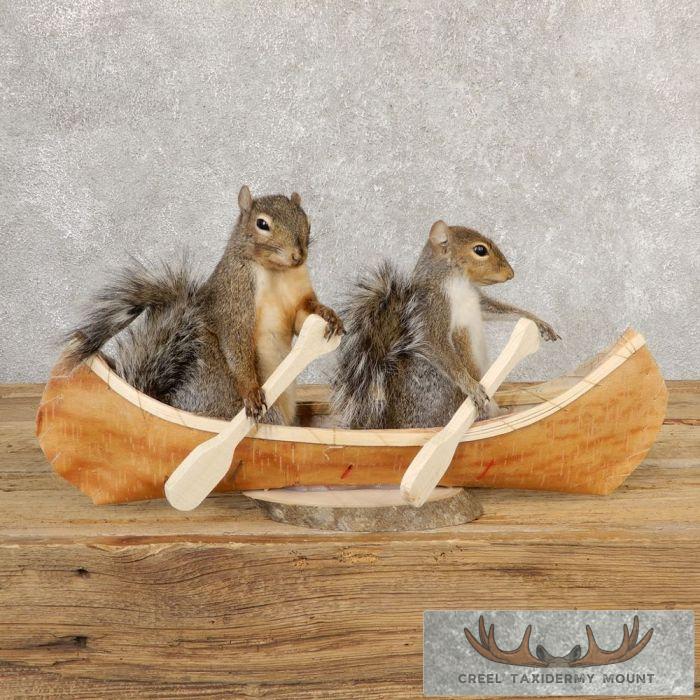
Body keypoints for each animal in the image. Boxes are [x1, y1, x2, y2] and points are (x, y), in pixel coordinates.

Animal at [65, 185, 343, 424]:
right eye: (262, 224)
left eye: (307, 221)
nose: (298, 256)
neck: (277, 273)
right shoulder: (234, 299)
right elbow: (235, 342)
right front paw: (251, 392)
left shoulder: (297, 295)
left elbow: (302, 320)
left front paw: (328, 315)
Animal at [331, 220, 559, 429]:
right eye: (480, 250)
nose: (510, 274)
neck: (459, 282)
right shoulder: (433, 310)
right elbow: (436, 344)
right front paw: (471, 386)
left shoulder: (478, 301)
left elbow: (498, 309)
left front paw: (537, 321)